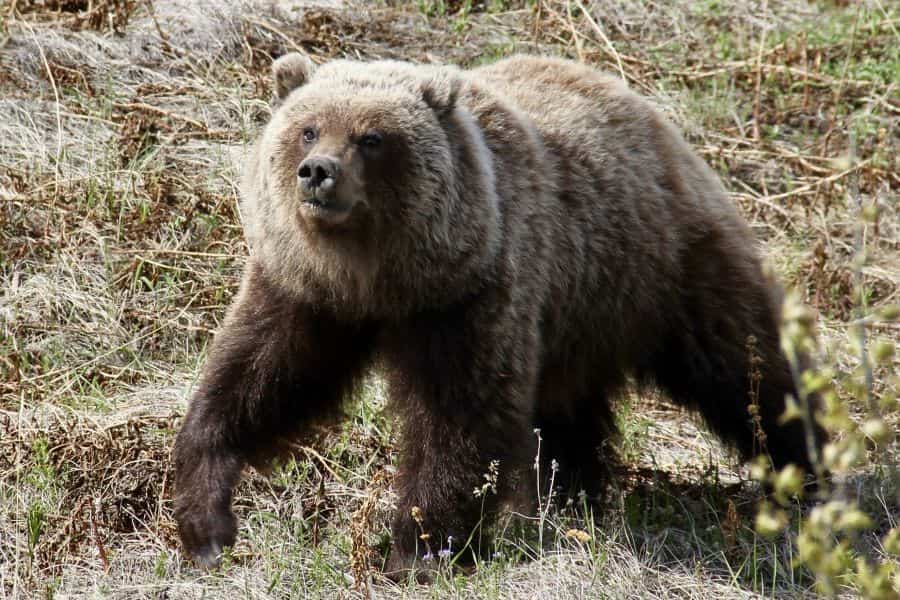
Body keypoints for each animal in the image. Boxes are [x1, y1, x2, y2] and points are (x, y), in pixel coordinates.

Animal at [172, 52, 823, 575]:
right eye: (308, 129)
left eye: (371, 137)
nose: (317, 173)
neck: (378, 279)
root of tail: (648, 112)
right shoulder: (304, 291)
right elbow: (259, 378)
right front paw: (207, 522)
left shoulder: (470, 293)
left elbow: (460, 418)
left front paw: (417, 548)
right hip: (579, 313)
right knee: (568, 412)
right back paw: (574, 498)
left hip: (664, 267)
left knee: (747, 370)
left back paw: (809, 470)